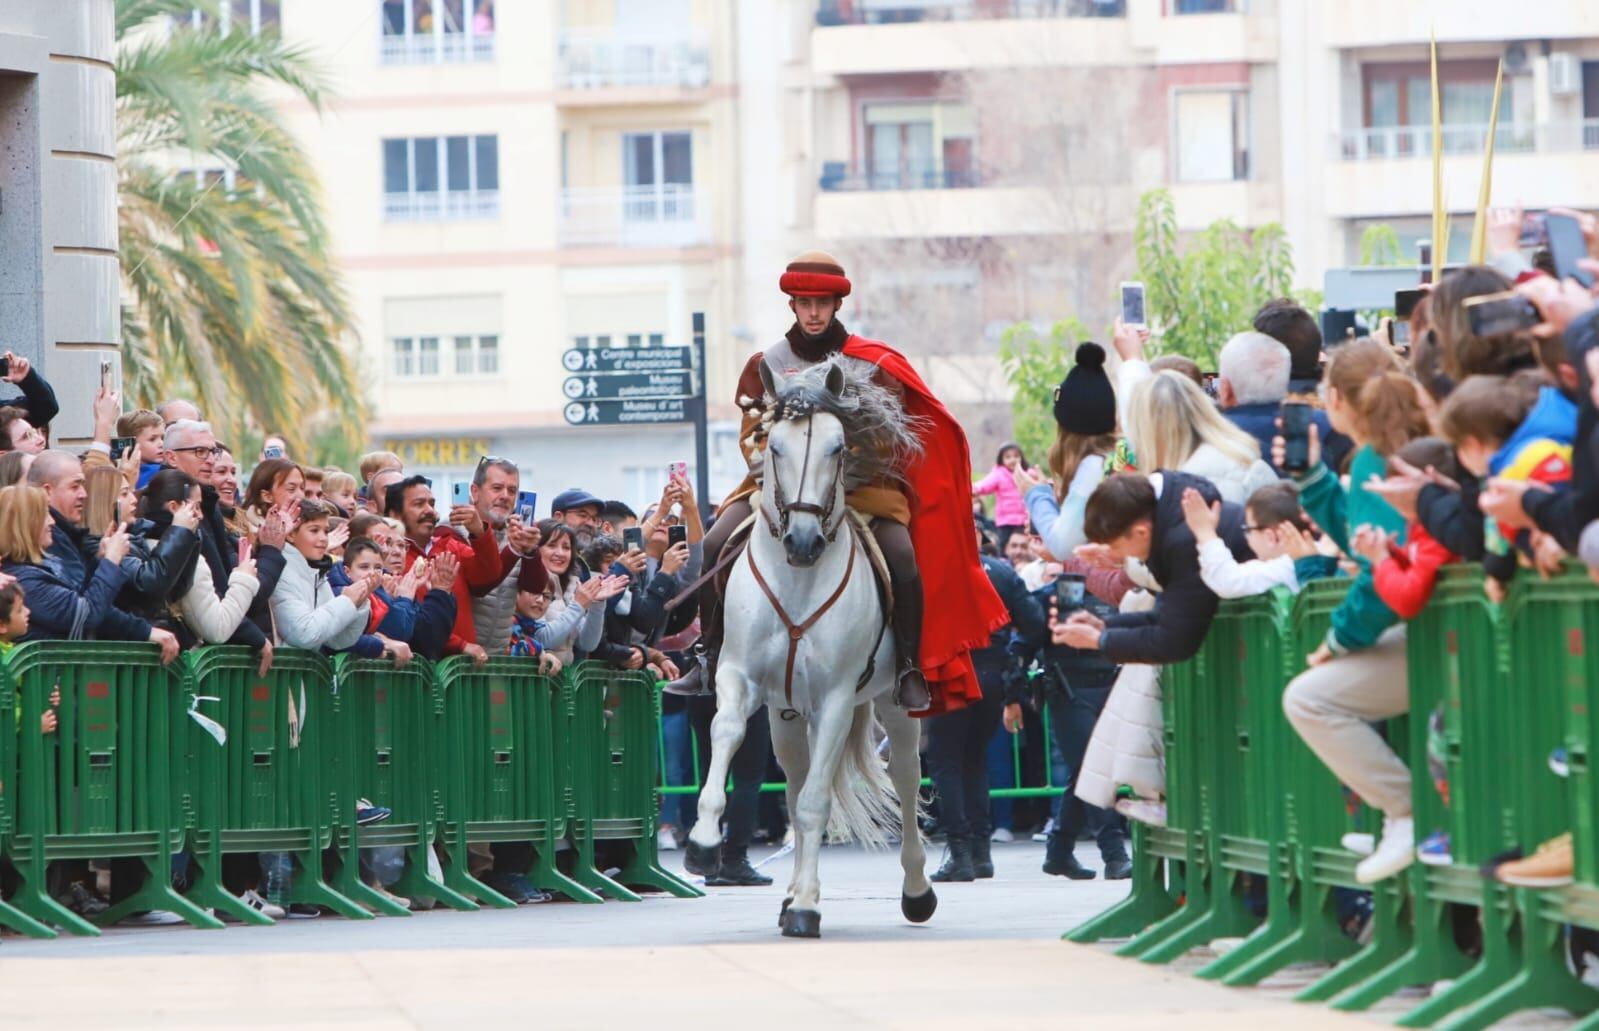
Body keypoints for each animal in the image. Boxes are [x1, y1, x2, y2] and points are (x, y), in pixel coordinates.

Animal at [681, 358, 933, 939]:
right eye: (774, 446)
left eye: (838, 448)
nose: (802, 541)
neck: (797, 582)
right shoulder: (738, 677)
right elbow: (726, 733)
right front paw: (703, 843)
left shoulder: (838, 697)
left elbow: (818, 802)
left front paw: (806, 909)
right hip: (787, 714)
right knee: (794, 787)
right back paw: (793, 888)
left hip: (889, 704)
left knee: (904, 778)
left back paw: (914, 892)